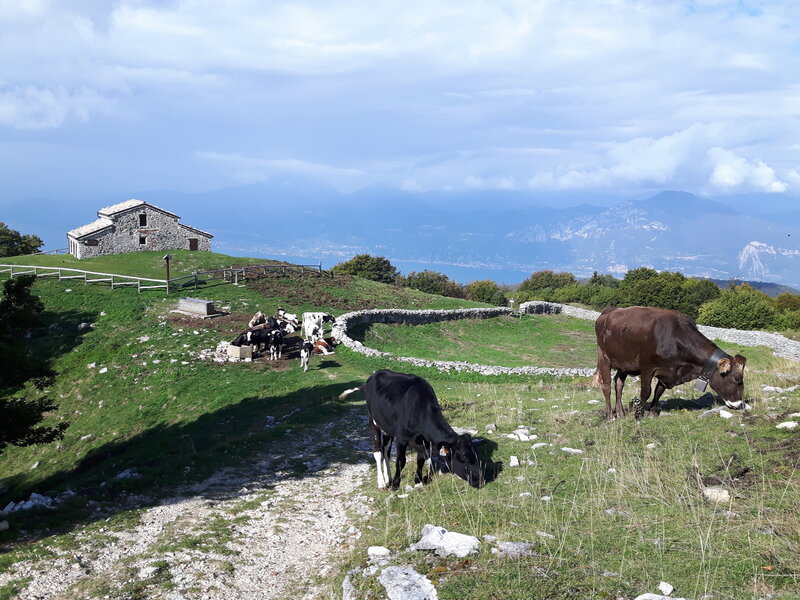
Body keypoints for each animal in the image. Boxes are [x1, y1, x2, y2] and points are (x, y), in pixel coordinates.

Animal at [338, 368, 482, 490]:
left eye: (475, 453)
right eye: (464, 456)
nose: (480, 480)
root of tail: (373, 376)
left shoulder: (423, 442)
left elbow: (421, 460)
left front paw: (418, 482)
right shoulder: (402, 438)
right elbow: (401, 461)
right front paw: (396, 485)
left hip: (388, 428)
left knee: (386, 451)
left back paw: (388, 479)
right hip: (373, 421)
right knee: (378, 451)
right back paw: (382, 482)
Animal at [592, 308, 748, 420]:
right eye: (736, 379)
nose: (740, 404)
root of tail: (608, 311)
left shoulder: (668, 372)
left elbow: (659, 391)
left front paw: (653, 412)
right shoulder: (647, 367)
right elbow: (646, 392)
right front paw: (639, 414)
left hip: (623, 363)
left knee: (618, 383)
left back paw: (620, 413)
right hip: (604, 358)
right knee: (606, 386)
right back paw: (610, 415)